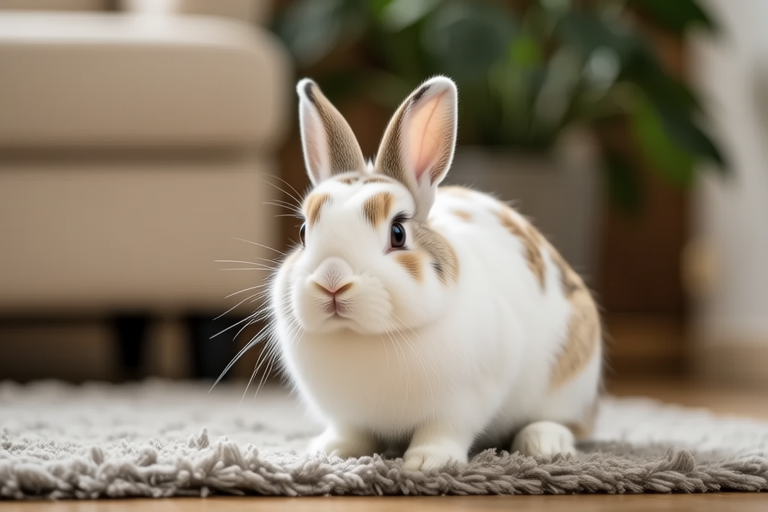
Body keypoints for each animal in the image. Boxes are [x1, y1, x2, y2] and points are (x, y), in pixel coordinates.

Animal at [270, 76, 602, 471]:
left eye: (398, 233)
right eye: (304, 232)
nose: (332, 281)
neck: (363, 338)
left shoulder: (464, 401)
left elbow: (443, 431)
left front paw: (428, 462)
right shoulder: (345, 413)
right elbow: (351, 432)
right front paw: (331, 451)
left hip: (570, 380)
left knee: (565, 422)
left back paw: (544, 444)